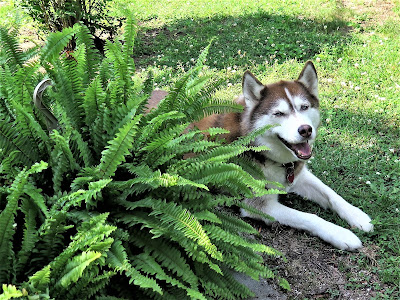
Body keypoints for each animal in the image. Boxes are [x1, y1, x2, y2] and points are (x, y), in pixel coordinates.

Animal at [148, 61, 374, 251]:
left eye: (304, 107)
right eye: (279, 114)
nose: (306, 130)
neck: (261, 149)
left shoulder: (298, 174)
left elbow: (331, 194)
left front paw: (357, 215)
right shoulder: (258, 205)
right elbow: (309, 217)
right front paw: (341, 234)